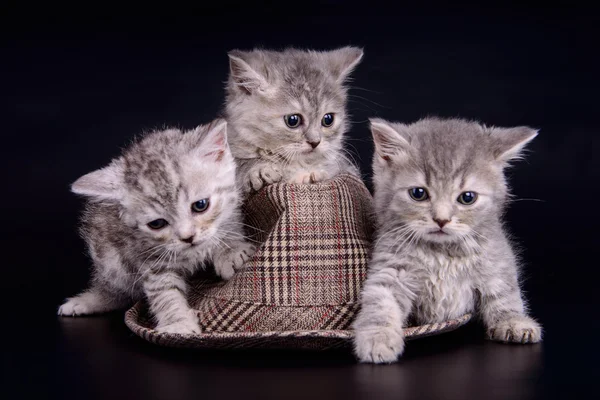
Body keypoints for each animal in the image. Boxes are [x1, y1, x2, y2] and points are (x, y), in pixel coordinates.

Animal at [56, 119, 253, 334]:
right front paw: (179, 322)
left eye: (201, 205)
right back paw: (90, 300)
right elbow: (164, 292)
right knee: (116, 289)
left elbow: (229, 224)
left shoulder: (232, 204)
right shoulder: (148, 255)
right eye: (157, 224)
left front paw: (231, 250)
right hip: (110, 259)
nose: (188, 237)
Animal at [352, 118, 544, 362]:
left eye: (467, 197)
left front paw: (513, 321)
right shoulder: (391, 267)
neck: (443, 252)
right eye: (418, 193)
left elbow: (504, 291)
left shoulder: (496, 257)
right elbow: (381, 301)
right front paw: (378, 337)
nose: (441, 220)